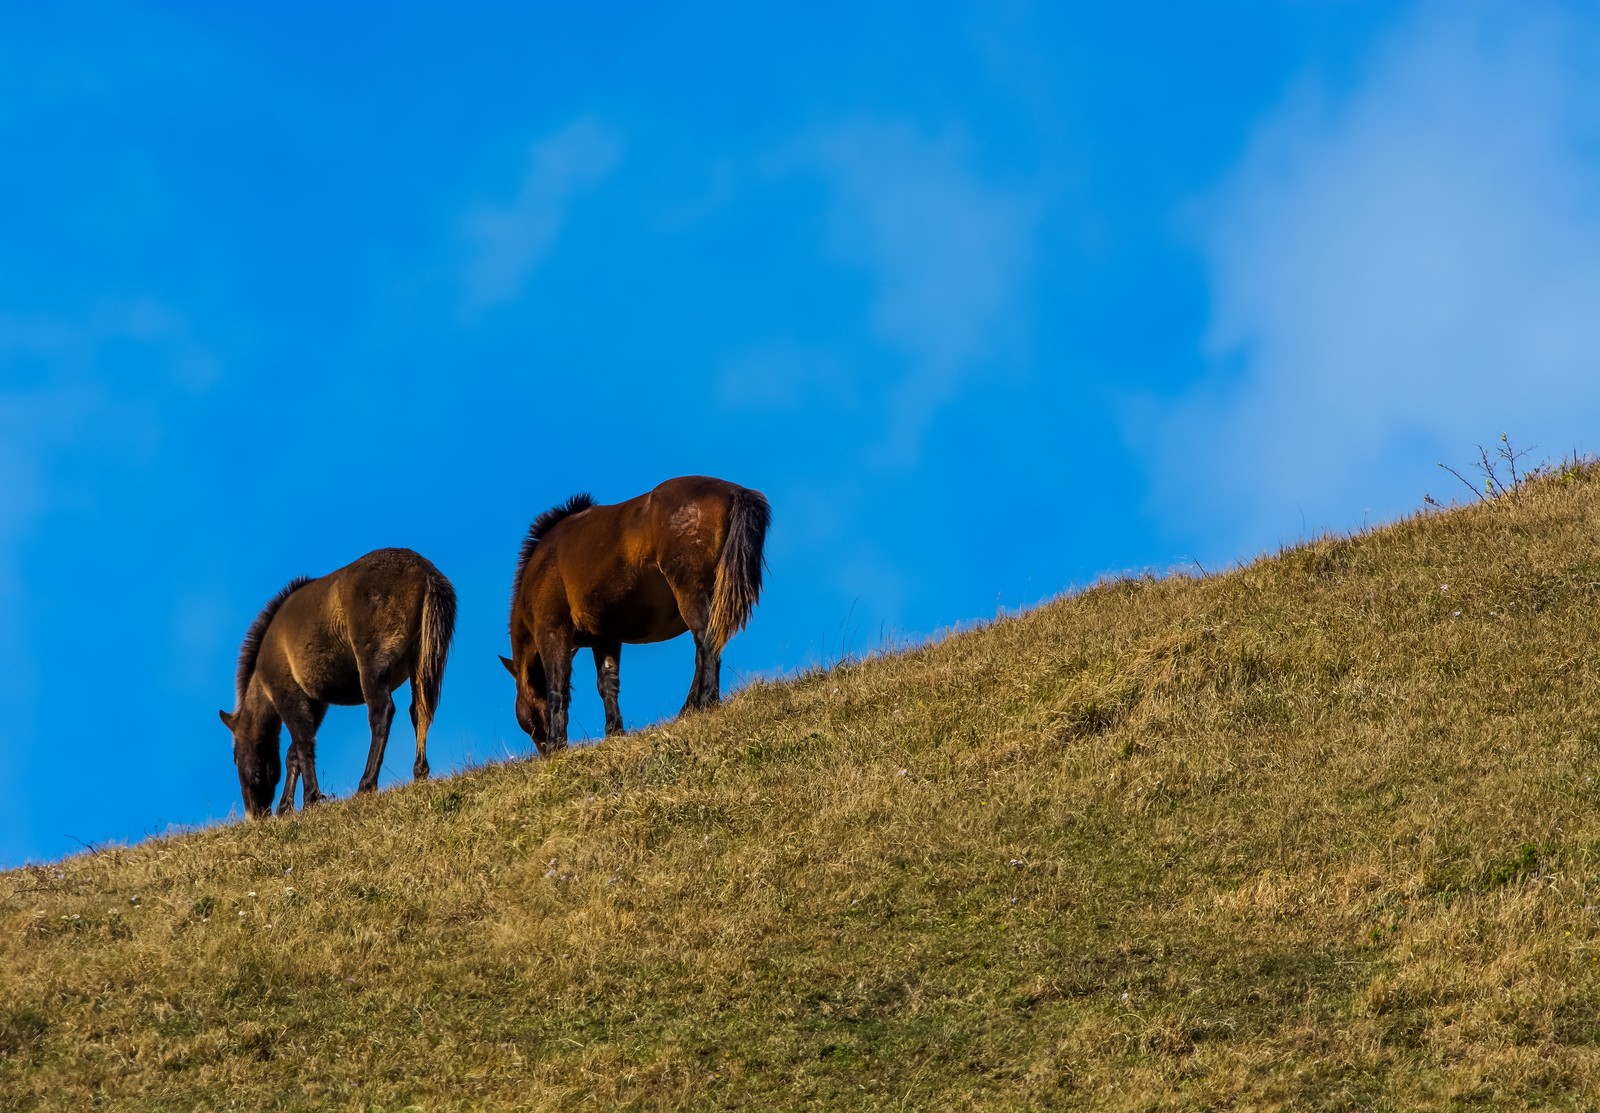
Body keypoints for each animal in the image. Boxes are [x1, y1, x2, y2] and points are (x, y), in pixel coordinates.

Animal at [219, 546, 457, 818]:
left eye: (236, 757)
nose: (255, 813)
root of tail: (425, 572)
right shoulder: (316, 702)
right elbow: (293, 754)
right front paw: (286, 806)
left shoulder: (288, 696)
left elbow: (302, 744)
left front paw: (310, 798)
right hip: (420, 661)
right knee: (419, 711)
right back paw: (419, 772)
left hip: (372, 666)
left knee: (382, 713)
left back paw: (366, 783)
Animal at [502, 473, 771, 751]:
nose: (544, 750)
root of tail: (734, 491)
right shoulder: (605, 637)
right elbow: (607, 684)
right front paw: (614, 731)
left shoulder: (552, 631)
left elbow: (558, 688)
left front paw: (558, 743)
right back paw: (690, 707)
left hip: (690, 592)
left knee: (706, 643)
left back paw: (707, 700)